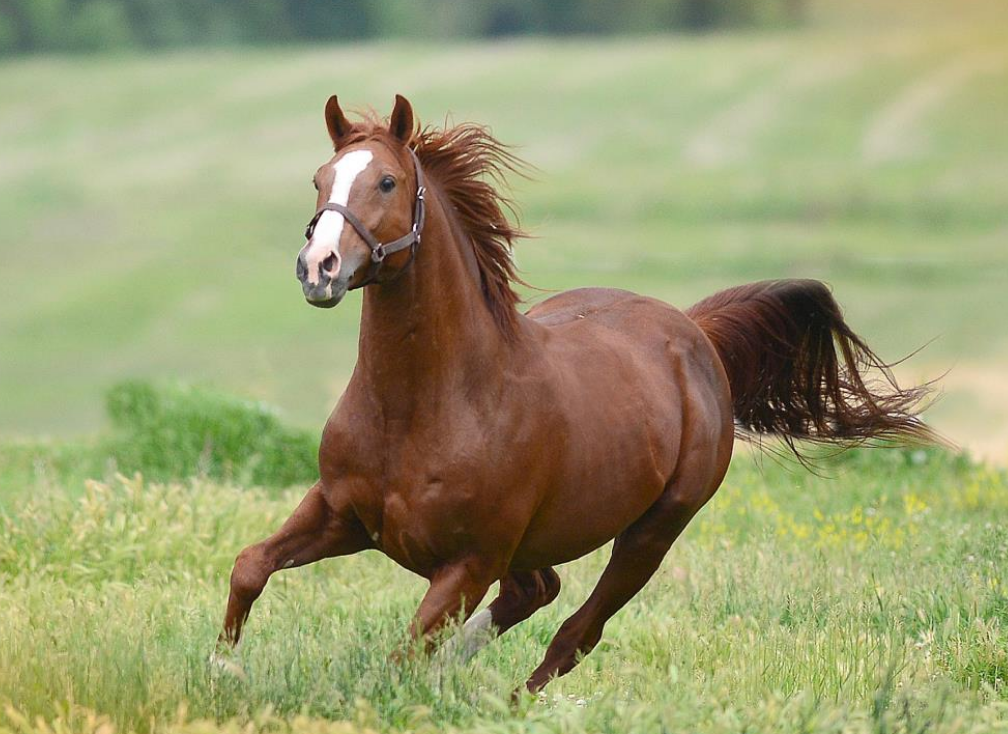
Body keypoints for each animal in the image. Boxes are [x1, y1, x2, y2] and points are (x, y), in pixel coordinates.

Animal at [216, 94, 939, 689]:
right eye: (319, 180)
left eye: (387, 181)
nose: (319, 268)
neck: (423, 407)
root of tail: (694, 332)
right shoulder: (341, 512)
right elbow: (250, 565)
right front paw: (222, 670)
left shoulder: (469, 561)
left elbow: (405, 652)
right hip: (539, 543)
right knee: (537, 592)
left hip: (652, 533)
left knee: (574, 633)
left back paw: (509, 699)